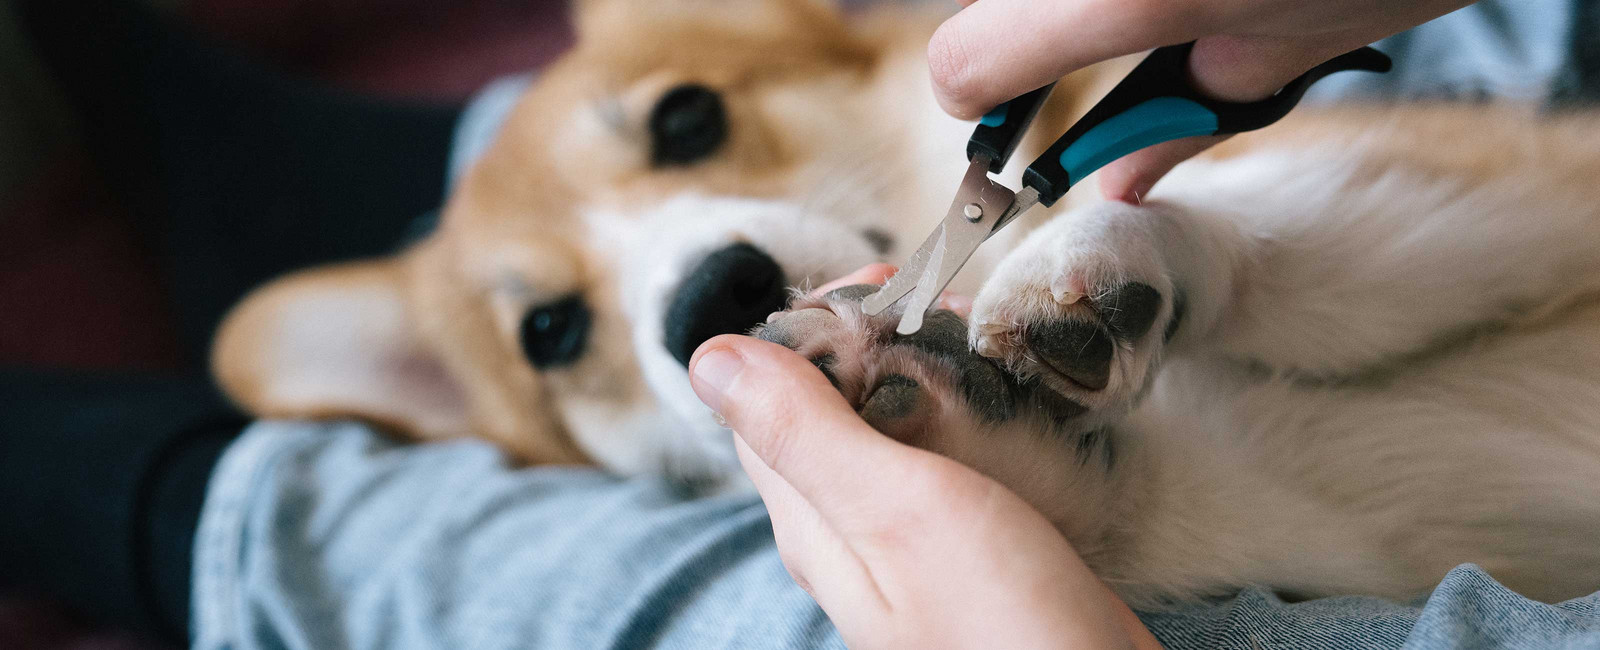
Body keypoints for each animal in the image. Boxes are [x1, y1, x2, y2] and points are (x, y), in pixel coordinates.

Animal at [216, 0, 1600, 608]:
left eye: (688, 117)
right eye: (549, 331)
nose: (713, 295)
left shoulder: (1519, 184)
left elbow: (1288, 236)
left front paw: (1068, 273)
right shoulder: (1314, 510)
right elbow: (1117, 509)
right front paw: (928, 397)